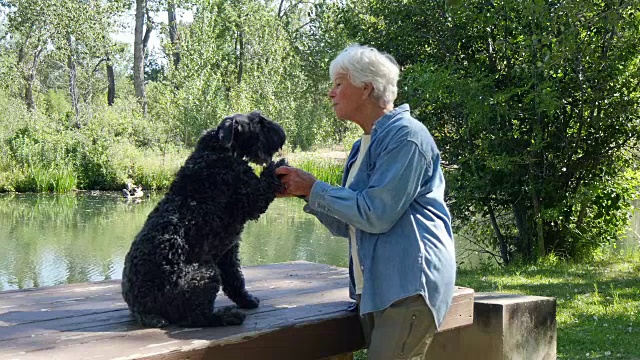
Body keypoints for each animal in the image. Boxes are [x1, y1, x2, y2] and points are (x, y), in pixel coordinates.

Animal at [122, 111, 284, 328]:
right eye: (258, 121)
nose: (282, 134)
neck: (218, 151)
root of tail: (140, 309)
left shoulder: (228, 252)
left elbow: (236, 279)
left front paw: (246, 299)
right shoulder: (251, 199)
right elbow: (266, 183)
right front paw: (278, 166)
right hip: (207, 273)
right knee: (197, 317)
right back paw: (226, 316)